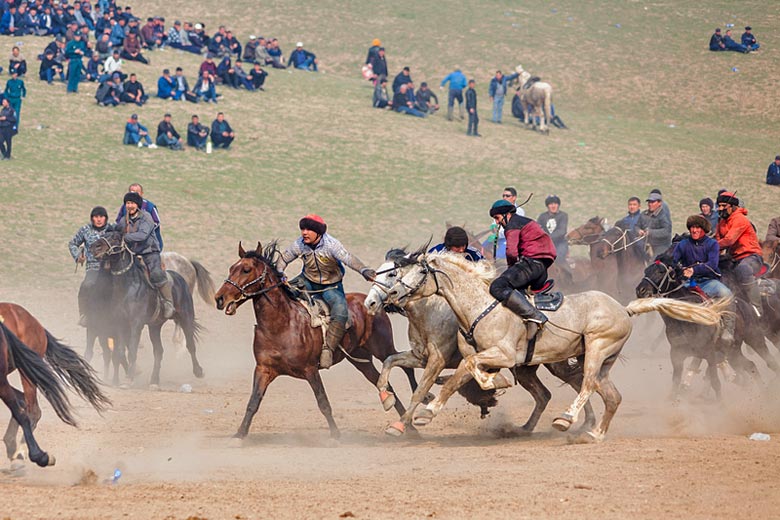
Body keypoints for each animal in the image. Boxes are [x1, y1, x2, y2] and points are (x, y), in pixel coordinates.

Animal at [0, 300, 111, 468]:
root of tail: (34, 321)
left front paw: (39, 456)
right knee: (22, 402)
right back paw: (14, 447)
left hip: (25, 371)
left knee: (31, 410)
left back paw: (24, 452)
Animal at [88, 232, 204, 386]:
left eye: (115, 237)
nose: (95, 247)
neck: (128, 286)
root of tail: (181, 278)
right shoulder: (120, 324)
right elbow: (119, 352)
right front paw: (115, 380)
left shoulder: (136, 324)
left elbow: (132, 350)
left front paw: (130, 377)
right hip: (155, 327)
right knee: (158, 351)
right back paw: (154, 380)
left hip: (186, 318)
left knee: (190, 345)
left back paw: (198, 371)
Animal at [213, 242, 420, 440]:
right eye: (231, 268)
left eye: (246, 269)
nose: (219, 298)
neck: (282, 324)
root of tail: (372, 302)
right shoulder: (263, 369)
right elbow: (253, 403)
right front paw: (240, 434)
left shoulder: (310, 369)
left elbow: (323, 402)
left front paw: (335, 435)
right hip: (361, 360)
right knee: (383, 382)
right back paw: (406, 424)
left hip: (382, 347)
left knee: (404, 365)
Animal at [362, 250, 596, 436]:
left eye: (392, 273)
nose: (370, 303)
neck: (431, 312)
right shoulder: (420, 358)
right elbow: (390, 361)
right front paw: (386, 397)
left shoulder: (437, 361)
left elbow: (421, 390)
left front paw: (402, 424)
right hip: (525, 369)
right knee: (544, 394)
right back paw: (528, 428)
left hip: (555, 362)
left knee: (577, 382)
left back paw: (584, 423)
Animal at [384, 252, 724, 442]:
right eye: (397, 273)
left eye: (420, 271)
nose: (392, 296)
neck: (479, 307)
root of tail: (624, 309)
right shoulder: (473, 357)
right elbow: (459, 376)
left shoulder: (498, 355)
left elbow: (449, 378)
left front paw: (426, 412)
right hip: (587, 361)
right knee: (608, 395)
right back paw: (592, 433)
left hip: (597, 348)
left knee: (586, 384)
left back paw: (567, 419)